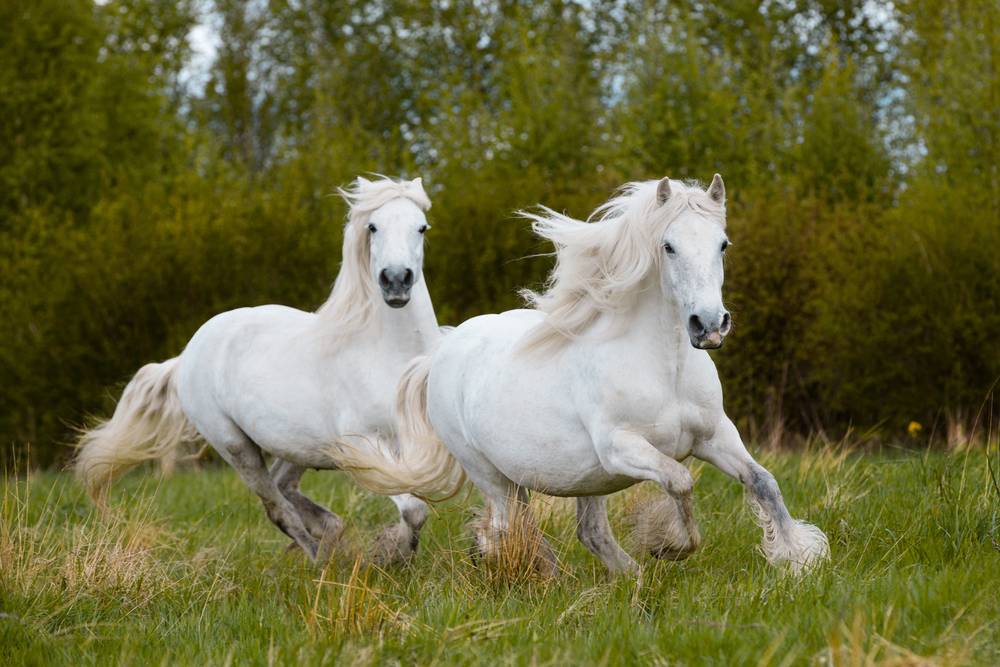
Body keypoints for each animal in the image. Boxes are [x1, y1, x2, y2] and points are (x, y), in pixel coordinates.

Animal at [77, 176, 438, 564]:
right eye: (373, 227)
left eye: (421, 227)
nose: (396, 280)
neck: (389, 354)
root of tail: (188, 353)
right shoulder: (363, 446)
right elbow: (413, 508)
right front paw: (392, 552)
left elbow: (420, 505)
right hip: (237, 448)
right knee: (278, 508)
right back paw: (319, 561)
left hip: (302, 445)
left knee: (285, 487)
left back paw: (329, 536)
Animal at [340, 176, 832, 576]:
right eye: (668, 246)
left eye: (723, 244)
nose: (708, 325)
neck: (664, 369)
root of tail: (443, 351)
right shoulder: (620, 447)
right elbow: (680, 481)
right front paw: (671, 545)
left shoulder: (715, 436)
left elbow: (763, 482)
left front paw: (798, 559)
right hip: (492, 474)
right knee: (509, 527)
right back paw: (547, 575)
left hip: (583, 478)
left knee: (585, 532)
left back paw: (625, 576)